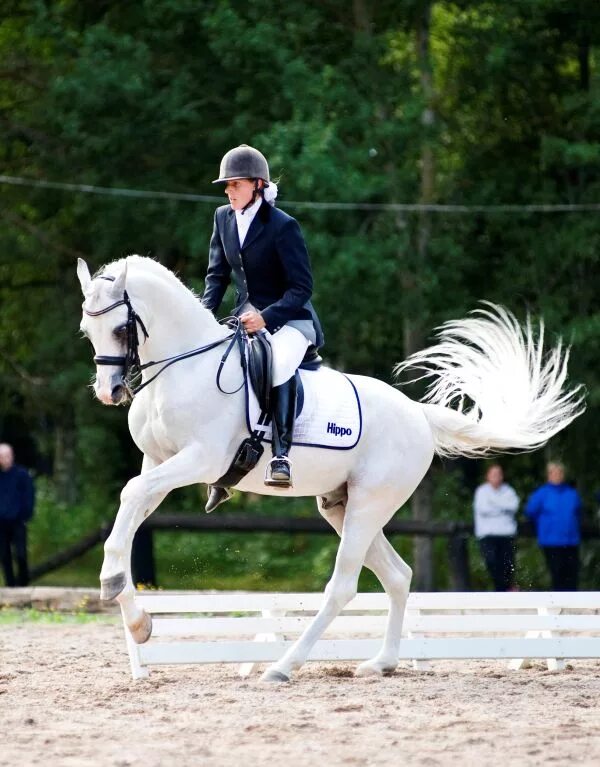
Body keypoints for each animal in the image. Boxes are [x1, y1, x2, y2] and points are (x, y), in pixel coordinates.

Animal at [75, 255, 580, 680]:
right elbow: (132, 508)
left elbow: (130, 494)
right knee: (398, 577)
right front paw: (136, 618)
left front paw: (111, 584)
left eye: (120, 329)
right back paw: (381, 663)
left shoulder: (200, 459)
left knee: (343, 587)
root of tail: (418, 415)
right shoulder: (160, 462)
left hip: (369, 504)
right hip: (342, 506)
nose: (109, 392)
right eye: (87, 330)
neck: (185, 368)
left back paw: (283, 667)